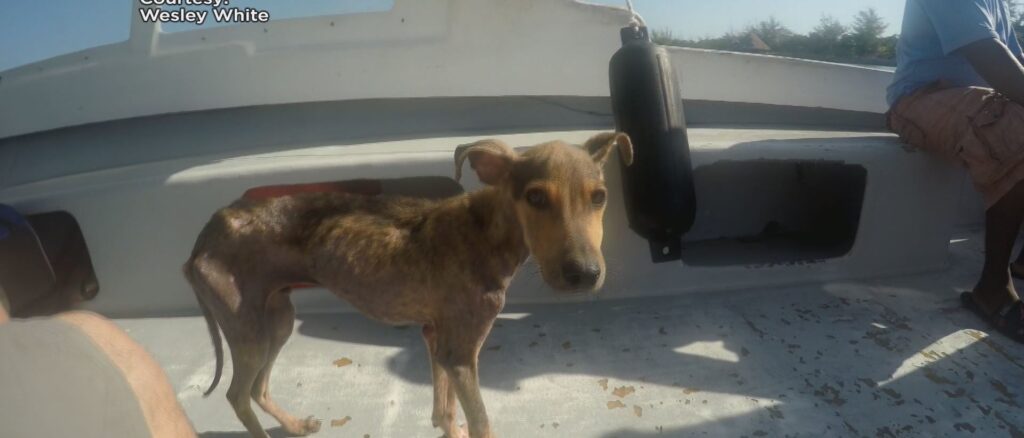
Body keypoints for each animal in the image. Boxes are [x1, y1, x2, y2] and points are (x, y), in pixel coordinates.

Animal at [184, 133, 630, 438]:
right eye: (535, 198)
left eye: (599, 197)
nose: (585, 274)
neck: (483, 231)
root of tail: (204, 237)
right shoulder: (461, 354)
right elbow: (481, 422)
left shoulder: (438, 340)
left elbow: (445, 411)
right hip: (250, 331)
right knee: (236, 395)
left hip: (276, 320)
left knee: (257, 389)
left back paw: (294, 425)